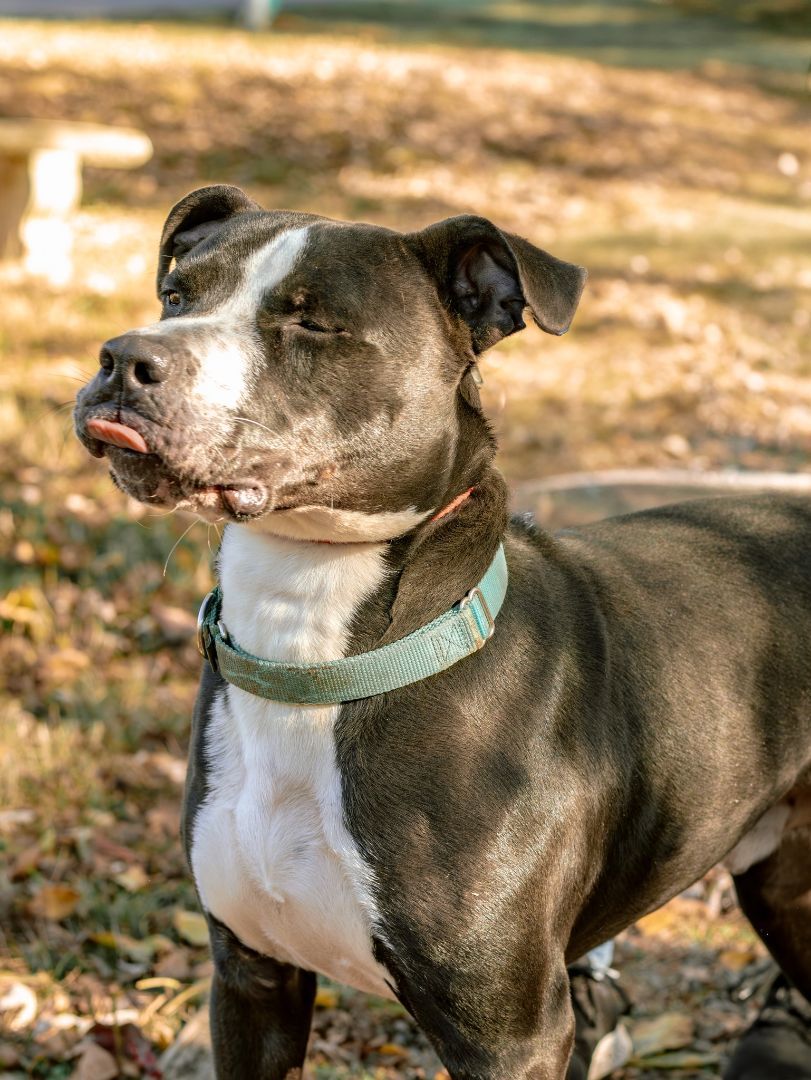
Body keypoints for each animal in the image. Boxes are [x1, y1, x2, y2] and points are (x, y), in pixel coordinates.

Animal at [76, 181, 811, 1075]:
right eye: (177, 296)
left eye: (311, 322)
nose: (123, 358)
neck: (314, 645)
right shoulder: (252, 980)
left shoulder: (508, 1033)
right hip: (786, 888)